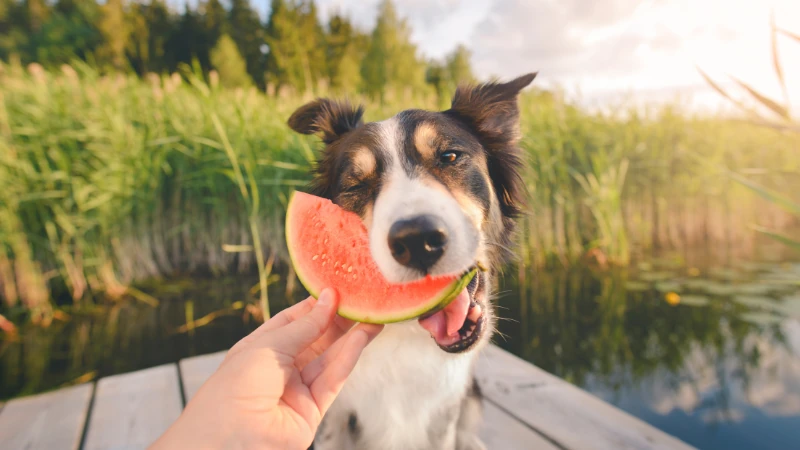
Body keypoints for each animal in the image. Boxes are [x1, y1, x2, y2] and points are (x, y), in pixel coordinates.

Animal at [288, 74, 536, 450]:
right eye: (356, 185)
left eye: (449, 156)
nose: (417, 241)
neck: (405, 336)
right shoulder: (334, 417)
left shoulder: (444, 416)